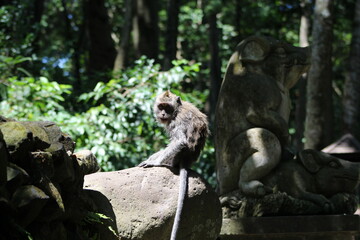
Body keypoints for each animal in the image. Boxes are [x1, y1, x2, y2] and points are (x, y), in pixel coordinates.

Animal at [139, 90, 210, 240]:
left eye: (167, 107)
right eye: (161, 106)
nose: (163, 114)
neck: (176, 110)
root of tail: (187, 160)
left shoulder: (176, 122)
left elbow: (180, 141)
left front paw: (154, 162)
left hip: (174, 158)